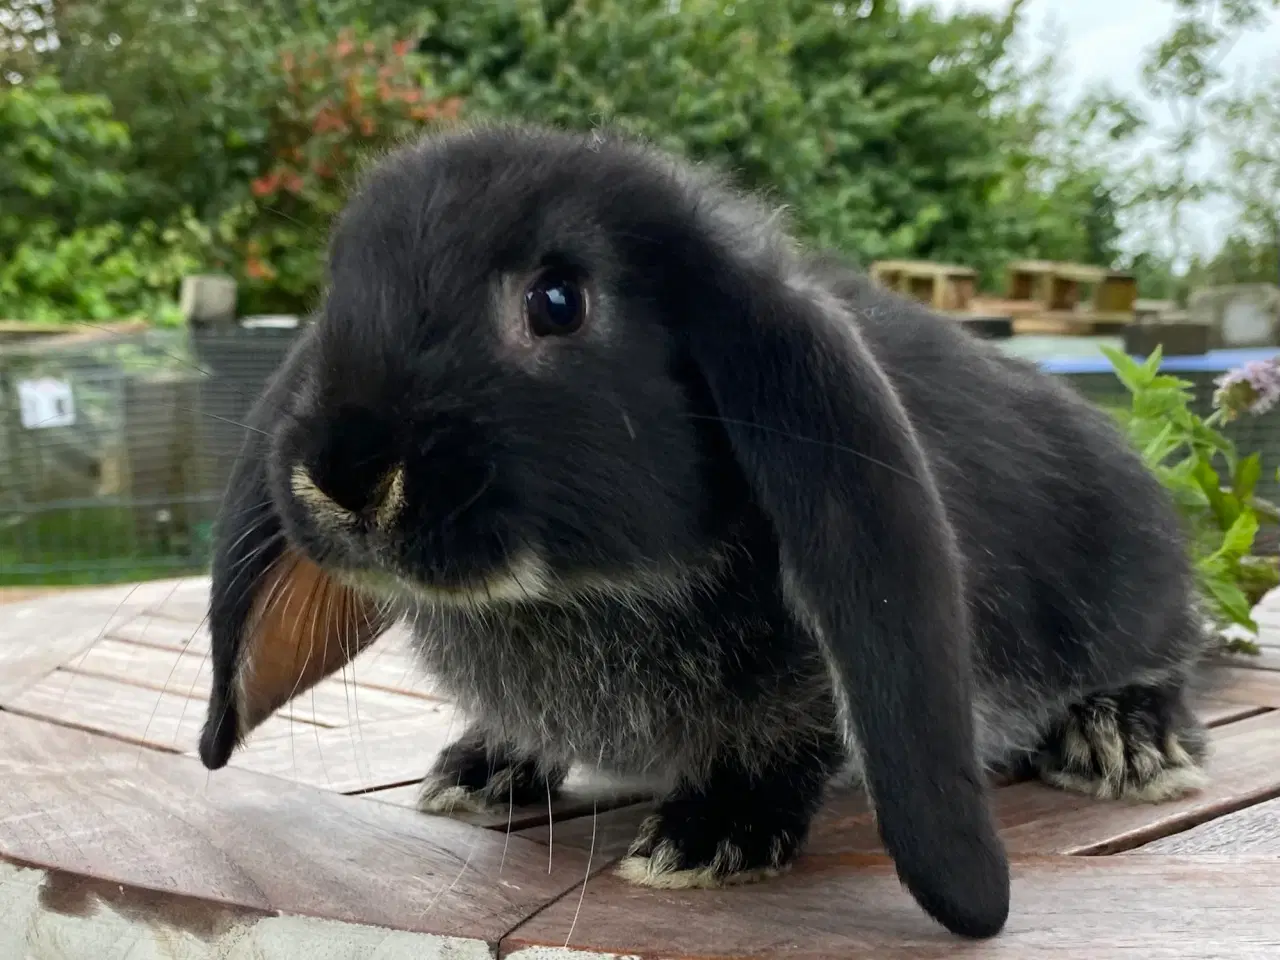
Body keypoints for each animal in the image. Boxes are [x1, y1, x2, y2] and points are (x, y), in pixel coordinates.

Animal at [197, 124, 1208, 942]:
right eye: (340, 296)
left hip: (1130, 588)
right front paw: (479, 769)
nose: (344, 474)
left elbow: (792, 740)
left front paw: (709, 835)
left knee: (1167, 659)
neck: (587, 595)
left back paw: (1122, 743)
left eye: (557, 301)